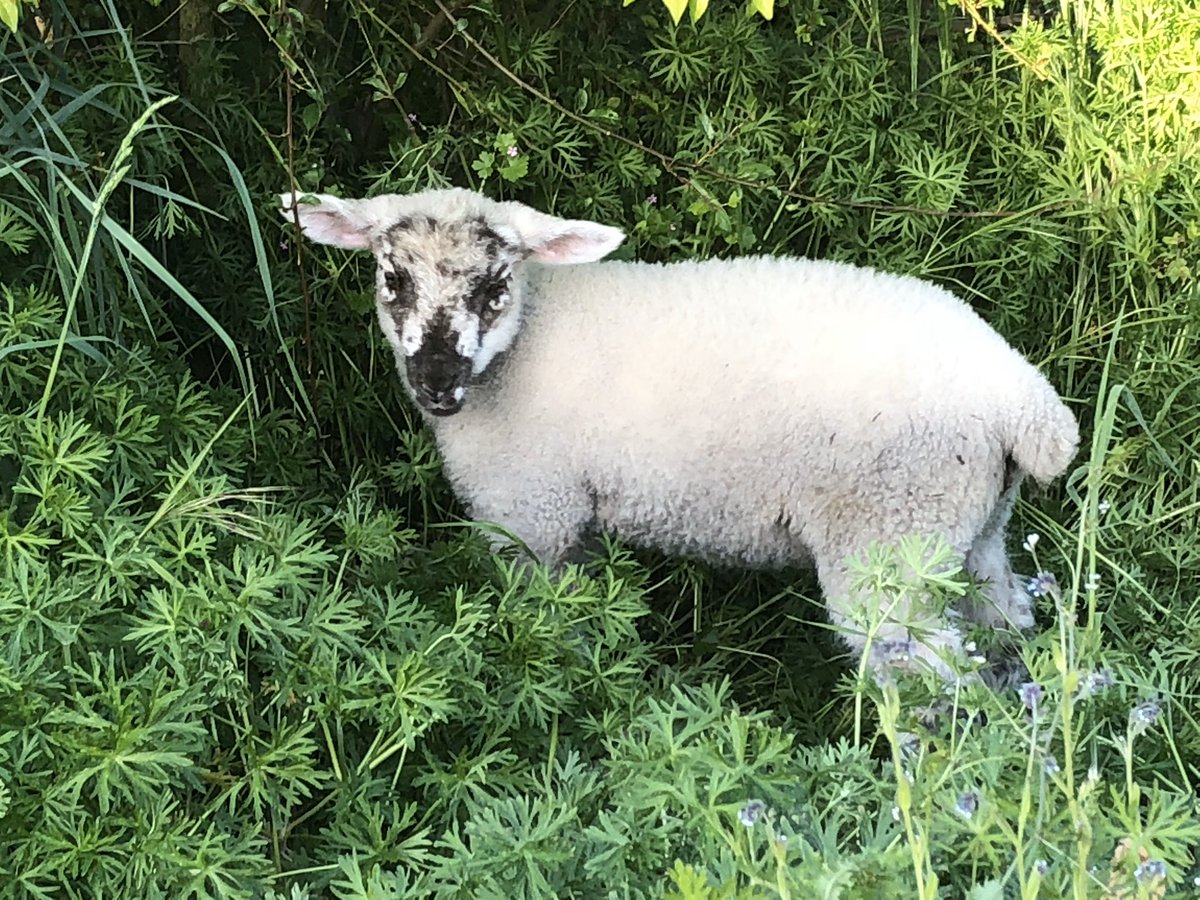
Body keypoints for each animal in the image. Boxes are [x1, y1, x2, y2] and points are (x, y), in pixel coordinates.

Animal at [280, 186, 1079, 687]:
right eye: (393, 279)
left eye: (493, 287)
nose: (436, 379)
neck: (524, 342)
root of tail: (1025, 402)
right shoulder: (573, 522)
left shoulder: (531, 519)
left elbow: (545, 631)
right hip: (969, 531)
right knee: (1006, 641)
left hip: (891, 535)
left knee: (936, 681)